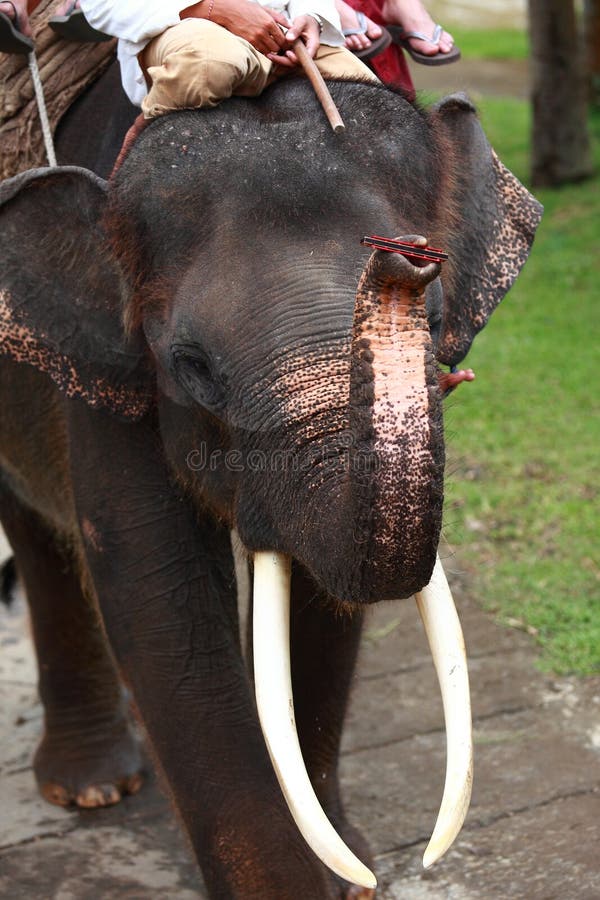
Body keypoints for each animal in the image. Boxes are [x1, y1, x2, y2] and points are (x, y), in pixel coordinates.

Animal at [0, 72, 544, 900]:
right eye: (192, 365)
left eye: (436, 321)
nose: (398, 260)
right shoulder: (112, 381)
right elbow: (165, 604)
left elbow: (323, 601)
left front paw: (346, 872)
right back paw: (91, 788)